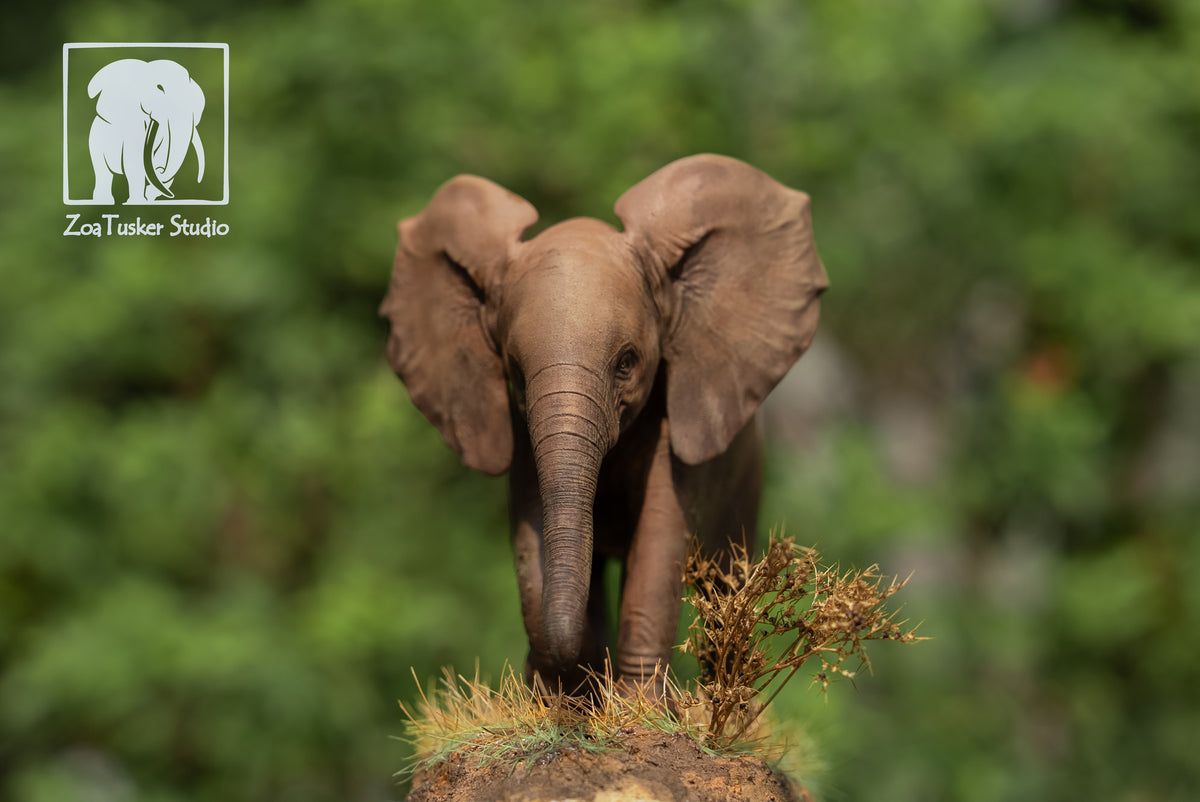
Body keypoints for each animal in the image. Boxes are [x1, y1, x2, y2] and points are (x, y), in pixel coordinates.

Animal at [88, 59, 205, 204]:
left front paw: (147, 196)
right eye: (159, 87)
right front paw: (136, 201)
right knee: (102, 171)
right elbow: (135, 162)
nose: (160, 170)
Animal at [380, 154, 828, 695]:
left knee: (722, 588)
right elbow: (531, 535)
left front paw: (639, 703)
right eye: (515, 372)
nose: (547, 665)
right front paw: (565, 693)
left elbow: (660, 537)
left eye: (627, 363)